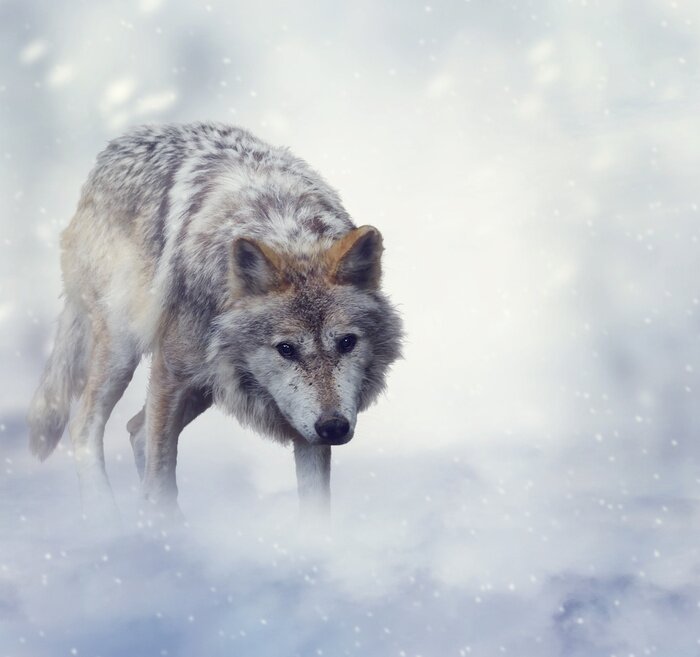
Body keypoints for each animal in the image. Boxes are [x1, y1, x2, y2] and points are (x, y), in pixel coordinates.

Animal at [27, 122, 402, 520]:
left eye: (346, 342)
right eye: (286, 349)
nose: (333, 427)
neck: (285, 233)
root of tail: (113, 150)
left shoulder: (301, 422)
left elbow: (316, 508)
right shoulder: (171, 373)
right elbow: (160, 477)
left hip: (206, 384)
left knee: (136, 429)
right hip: (123, 349)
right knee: (84, 424)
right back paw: (107, 516)